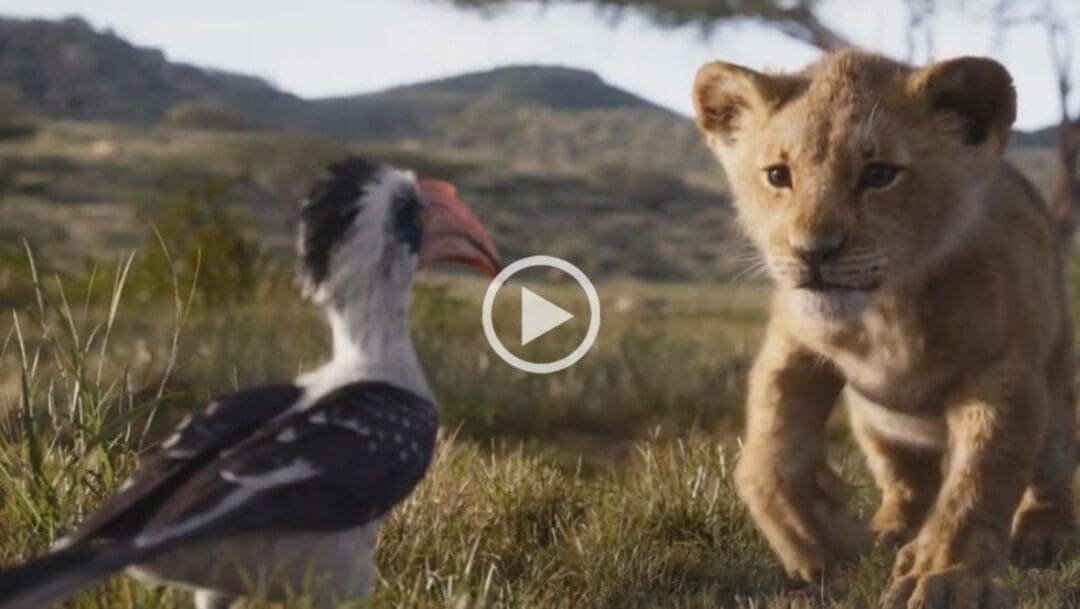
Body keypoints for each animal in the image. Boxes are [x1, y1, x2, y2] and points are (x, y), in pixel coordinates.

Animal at [692, 50, 1077, 608]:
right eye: (778, 175)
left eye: (878, 174)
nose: (813, 252)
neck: (886, 310)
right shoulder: (794, 340)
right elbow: (770, 451)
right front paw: (817, 537)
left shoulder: (1002, 372)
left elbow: (979, 480)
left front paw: (948, 576)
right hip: (876, 426)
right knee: (907, 485)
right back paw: (886, 532)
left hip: (1056, 398)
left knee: (1049, 473)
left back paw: (1044, 535)